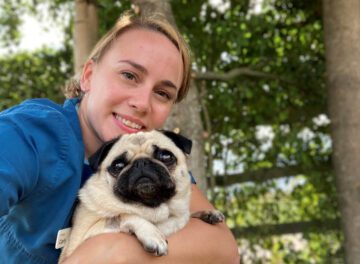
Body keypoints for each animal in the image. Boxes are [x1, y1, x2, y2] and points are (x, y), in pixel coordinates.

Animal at [58, 130, 222, 262]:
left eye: (166, 156)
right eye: (118, 165)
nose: (141, 162)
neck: (152, 208)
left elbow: (188, 216)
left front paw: (207, 213)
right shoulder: (80, 241)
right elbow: (124, 215)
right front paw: (153, 234)